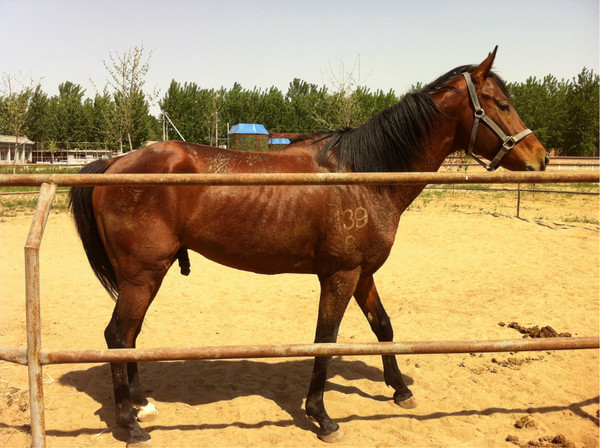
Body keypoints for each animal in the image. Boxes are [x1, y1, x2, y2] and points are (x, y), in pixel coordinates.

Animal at [69, 47, 548, 446]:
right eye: (501, 104)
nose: (540, 157)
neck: (363, 174)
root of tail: (116, 162)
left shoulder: (363, 273)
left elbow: (383, 328)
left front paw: (399, 390)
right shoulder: (340, 275)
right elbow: (326, 339)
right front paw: (321, 416)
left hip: (146, 276)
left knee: (130, 336)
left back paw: (141, 403)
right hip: (142, 275)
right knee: (118, 335)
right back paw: (130, 424)